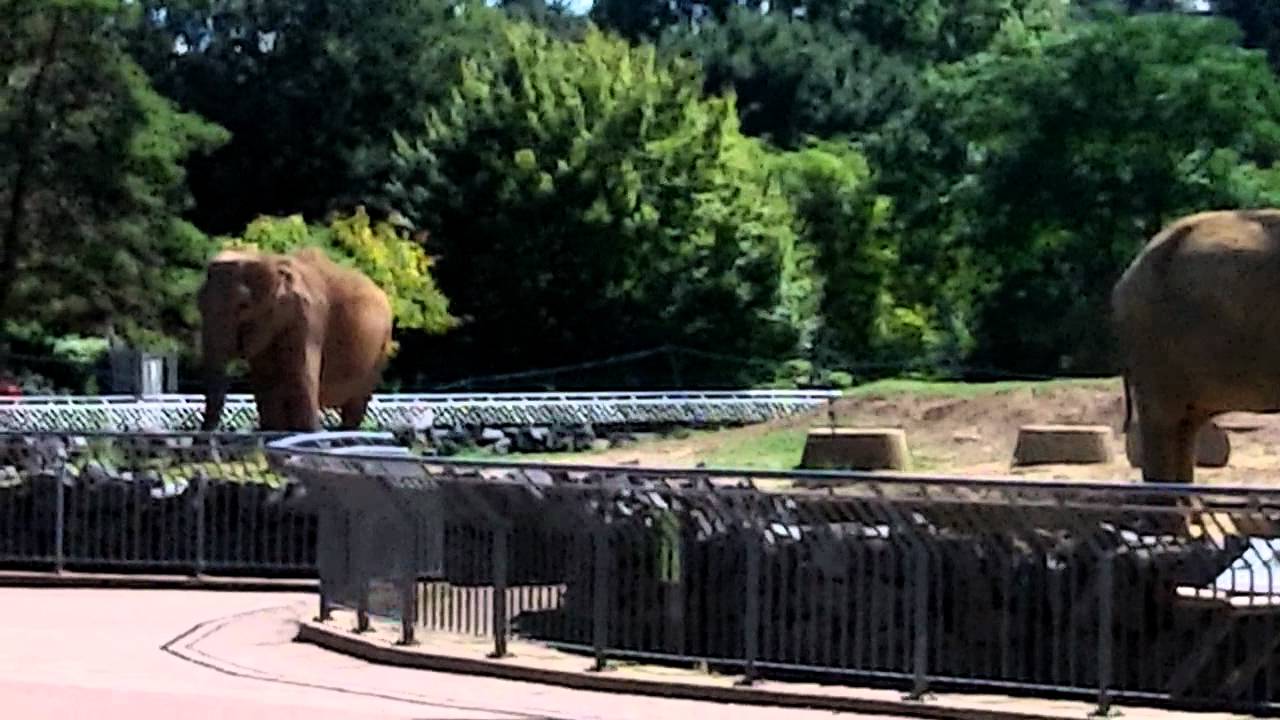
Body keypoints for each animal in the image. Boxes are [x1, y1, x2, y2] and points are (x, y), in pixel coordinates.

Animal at [194, 243, 391, 430]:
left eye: (243, 306)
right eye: (199, 302)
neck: (271, 261)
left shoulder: (309, 319)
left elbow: (301, 381)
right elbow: (267, 385)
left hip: (380, 349)